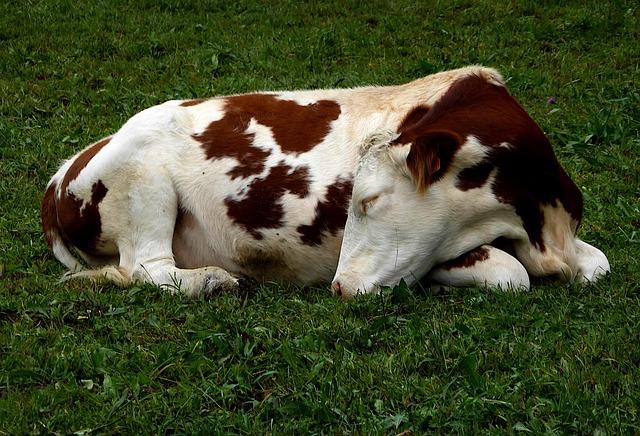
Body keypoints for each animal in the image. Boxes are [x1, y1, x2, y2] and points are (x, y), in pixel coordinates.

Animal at [40, 66, 610, 298]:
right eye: (356, 198)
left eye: (371, 199)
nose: (338, 285)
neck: (545, 228)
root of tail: (61, 173)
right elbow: (509, 274)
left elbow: (599, 264)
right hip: (143, 181)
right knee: (147, 268)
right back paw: (214, 281)